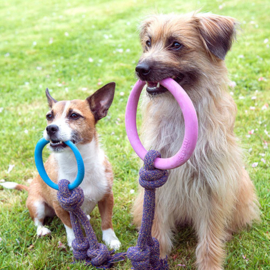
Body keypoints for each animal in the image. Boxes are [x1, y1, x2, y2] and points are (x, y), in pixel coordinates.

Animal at [0, 83, 121, 250]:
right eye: (49, 116)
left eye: (74, 115)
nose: (50, 128)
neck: (77, 163)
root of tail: (29, 189)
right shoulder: (60, 206)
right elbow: (70, 226)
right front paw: (75, 242)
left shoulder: (107, 197)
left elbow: (107, 221)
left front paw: (111, 240)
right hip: (36, 204)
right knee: (37, 221)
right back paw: (42, 230)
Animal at [134, 13, 260, 270]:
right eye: (148, 43)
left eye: (176, 44)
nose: (140, 69)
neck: (181, 113)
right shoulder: (157, 182)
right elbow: (157, 228)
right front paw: (156, 257)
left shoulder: (214, 185)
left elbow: (210, 237)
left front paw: (210, 264)